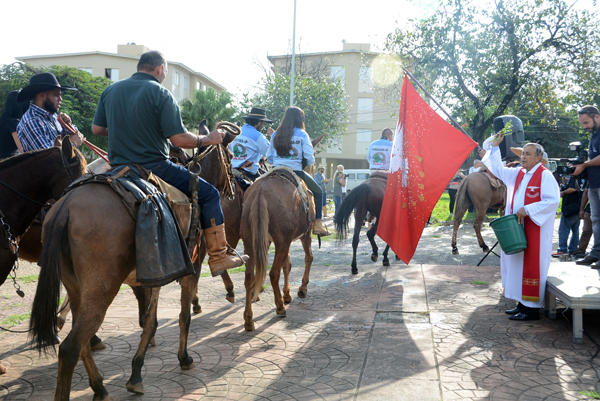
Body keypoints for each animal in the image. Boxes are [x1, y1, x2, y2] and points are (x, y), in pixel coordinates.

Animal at [28, 124, 239, 396]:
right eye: (231, 156)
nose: (233, 188)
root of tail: (65, 207)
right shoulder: (192, 267)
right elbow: (183, 316)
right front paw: (183, 358)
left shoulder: (155, 274)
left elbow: (149, 322)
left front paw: (136, 373)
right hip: (101, 291)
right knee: (70, 348)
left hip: (76, 289)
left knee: (82, 341)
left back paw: (99, 386)